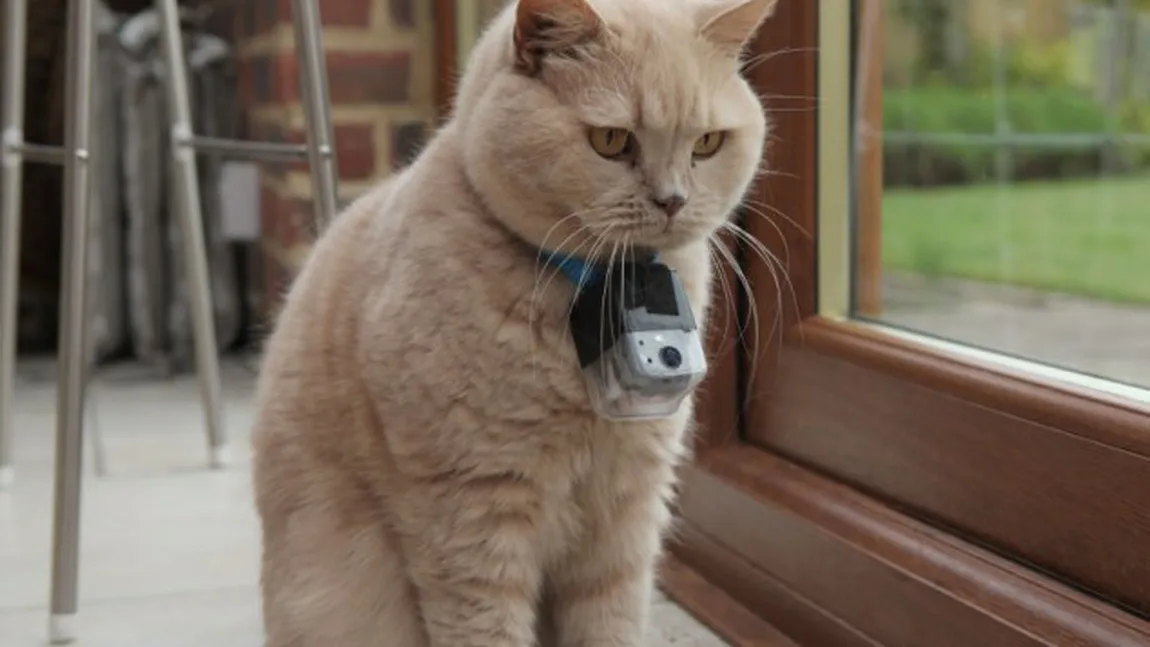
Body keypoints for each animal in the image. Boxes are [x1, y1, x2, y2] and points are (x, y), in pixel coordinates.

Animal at [249, 0, 772, 643]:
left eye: (707, 144)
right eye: (610, 140)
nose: (672, 200)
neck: (595, 292)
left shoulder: (625, 517)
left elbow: (611, 622)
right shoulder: (472, 517)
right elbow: (488, 627)